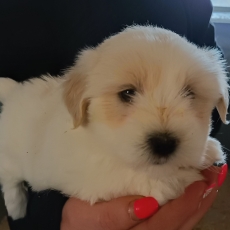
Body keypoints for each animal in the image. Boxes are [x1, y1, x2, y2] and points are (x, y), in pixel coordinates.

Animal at [0, 25, 228, 219]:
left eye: (190, 93)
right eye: (127, 93)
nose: (164, 144)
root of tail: (13, 92)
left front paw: (209, 150)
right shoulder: (93, 173)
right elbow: (128, 175)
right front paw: (181, 179)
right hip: (11, 155)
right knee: (8, 176)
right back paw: (16, 206)